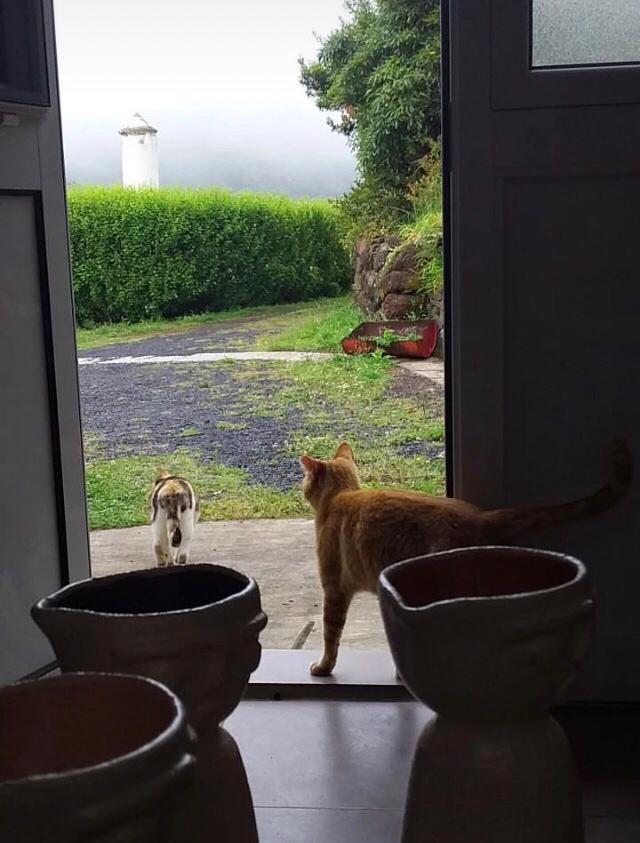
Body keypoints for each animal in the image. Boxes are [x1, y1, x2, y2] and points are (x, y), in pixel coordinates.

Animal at [300, 438, 632, 676]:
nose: (301, 486)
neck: (340, 496)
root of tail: (483, 515)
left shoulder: (334, 590)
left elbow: (331, 635)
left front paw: (323, 667)